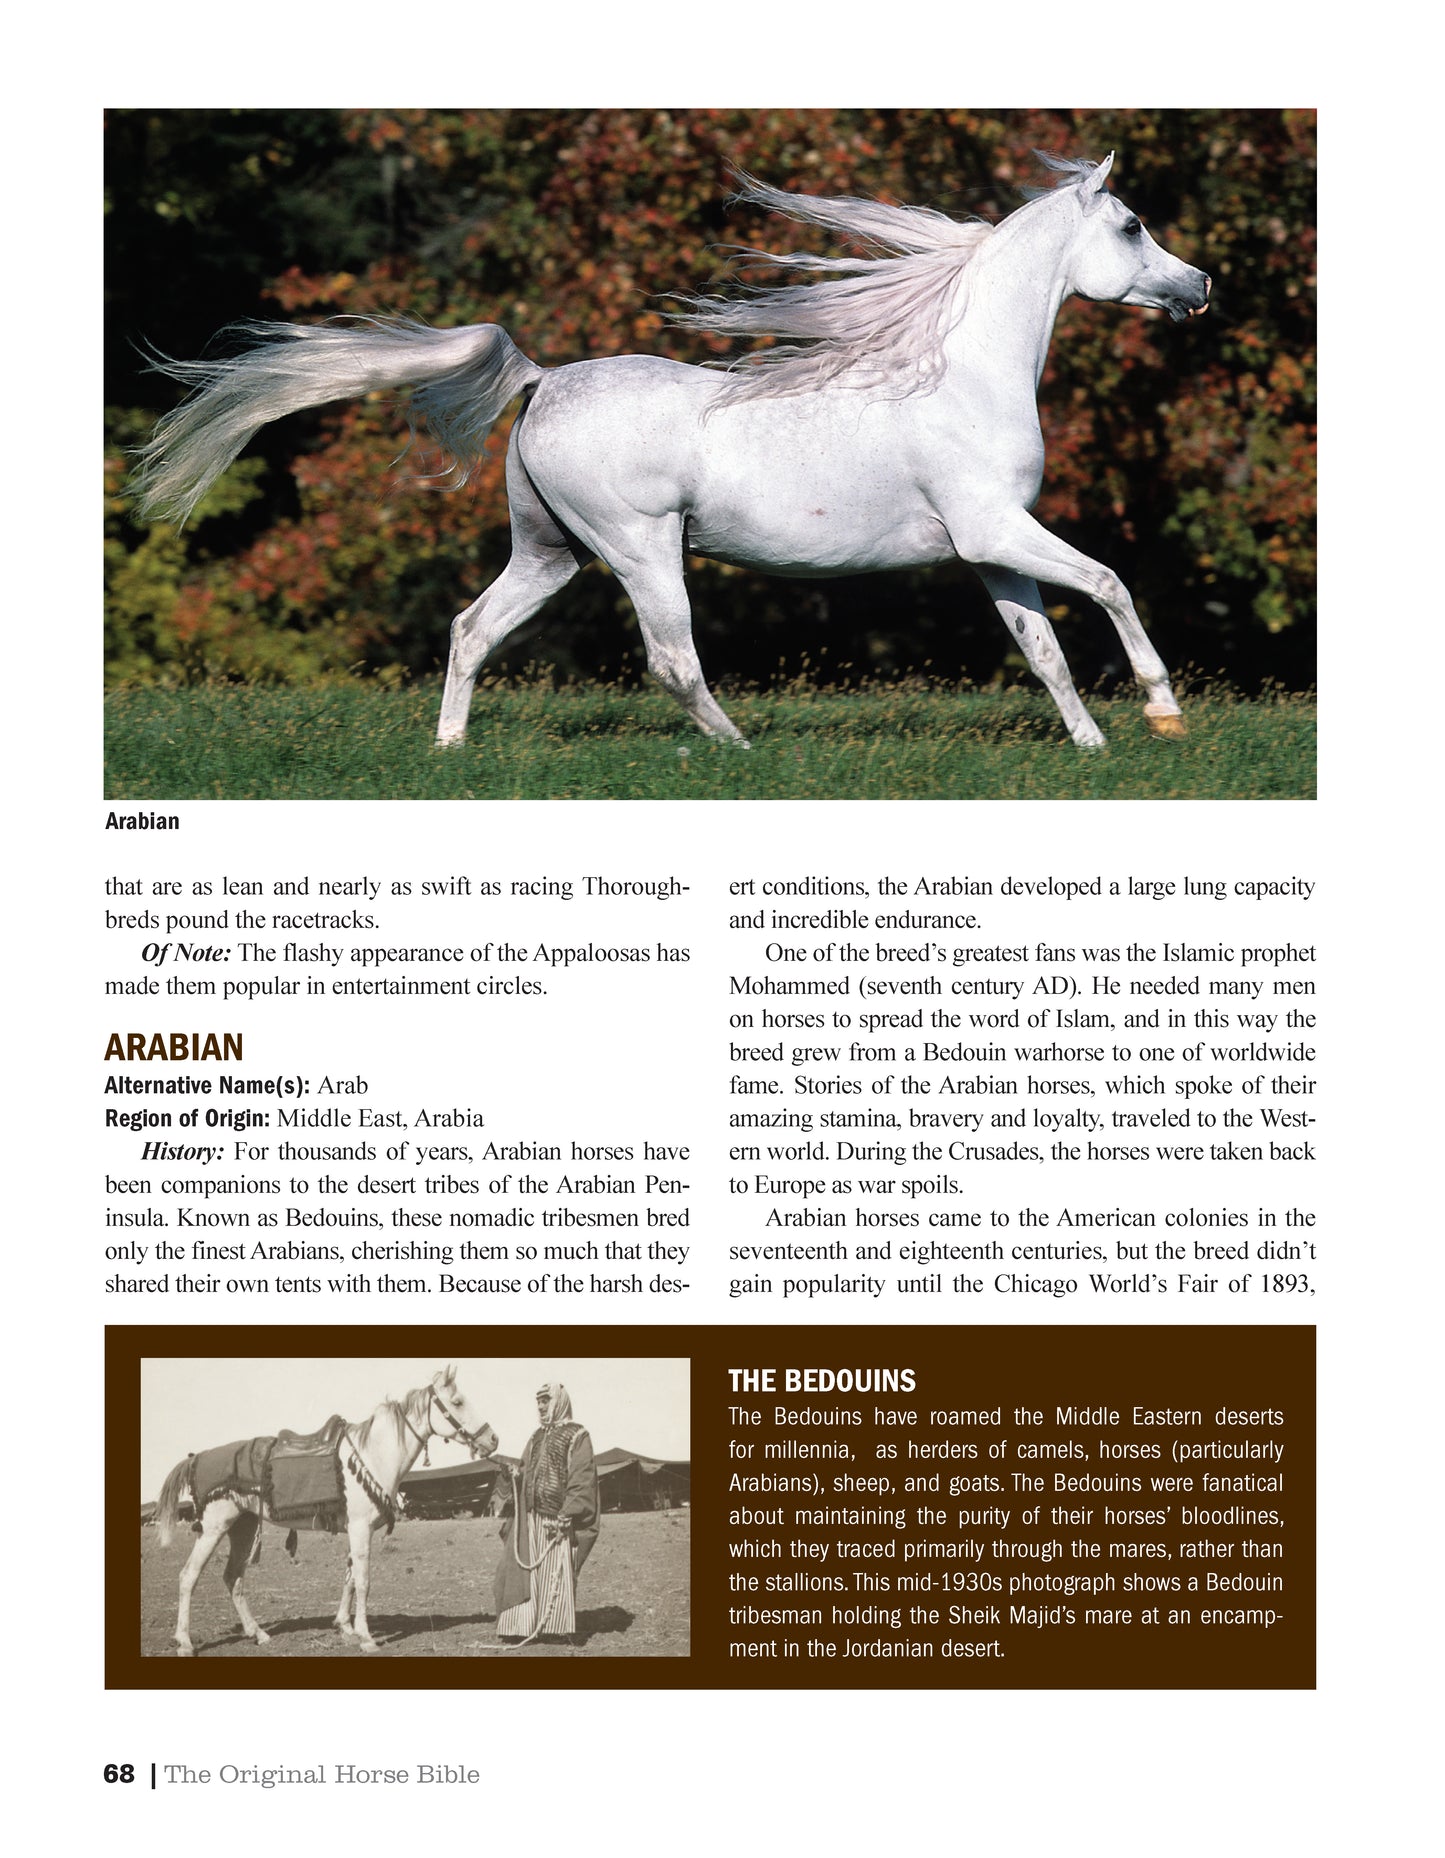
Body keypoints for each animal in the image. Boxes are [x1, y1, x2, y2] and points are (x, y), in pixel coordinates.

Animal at [132, 152, 1210, 751]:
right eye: (1130, 224)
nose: (1197, 287)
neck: (956, 374)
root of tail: (541, 380)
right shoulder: (995, 530)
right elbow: (1108, 585)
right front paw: (1162, 713)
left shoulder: (986, 549)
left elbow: (1043, 653)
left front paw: (1091, 745)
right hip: (641, 548)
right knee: (671, 661)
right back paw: (742, 751)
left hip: (551, 552)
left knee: (472, 629)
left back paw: (447, 750)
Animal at [152, 1366, 497, 1657]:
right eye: (457, 1402)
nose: (492, 1439)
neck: (372, 1455)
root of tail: (196, 1458)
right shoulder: (360, 1529)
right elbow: (363, 1580)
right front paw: (366, 1638)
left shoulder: (358, 1531)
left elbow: (350, 1578)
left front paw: (345, 1627)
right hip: (214, 1528)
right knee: (188, 1576)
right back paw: (185, 1642)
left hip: (243, 1527)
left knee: (233, 1578)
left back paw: (258, 1634)